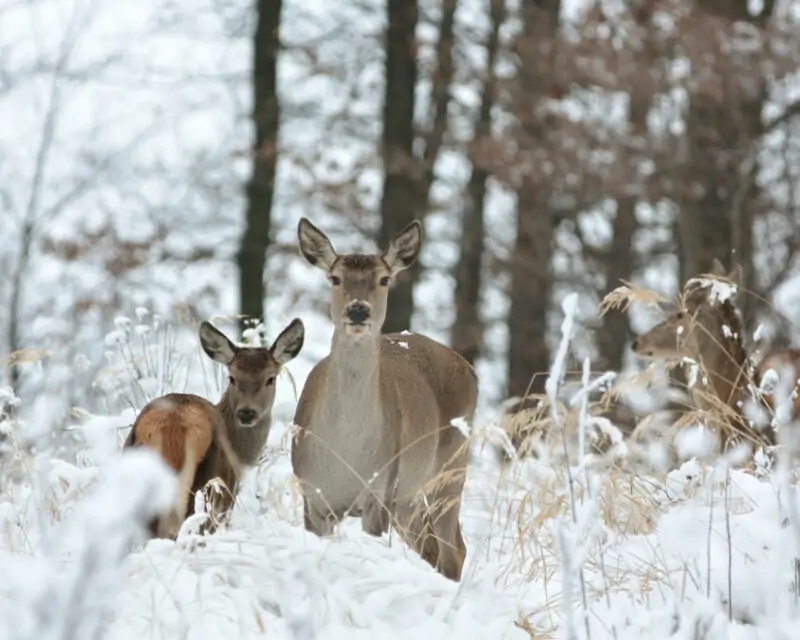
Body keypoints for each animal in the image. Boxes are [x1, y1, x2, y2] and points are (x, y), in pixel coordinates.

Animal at [124, 318, 305, 539]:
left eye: (271, 378)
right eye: (232, 377)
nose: (246, 412)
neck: (240, 458)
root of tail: (171, 426)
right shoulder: (227, 500)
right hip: (208, 491)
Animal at [291, 217, 478, 582]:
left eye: (383, 279)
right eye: (335, 278)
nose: (358, 310)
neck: (345, 452)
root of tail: (469, 368)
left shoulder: (378, 490)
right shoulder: (312, 496)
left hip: (450, 467)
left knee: (454, 550)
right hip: (408, 497)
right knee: (431, 545)